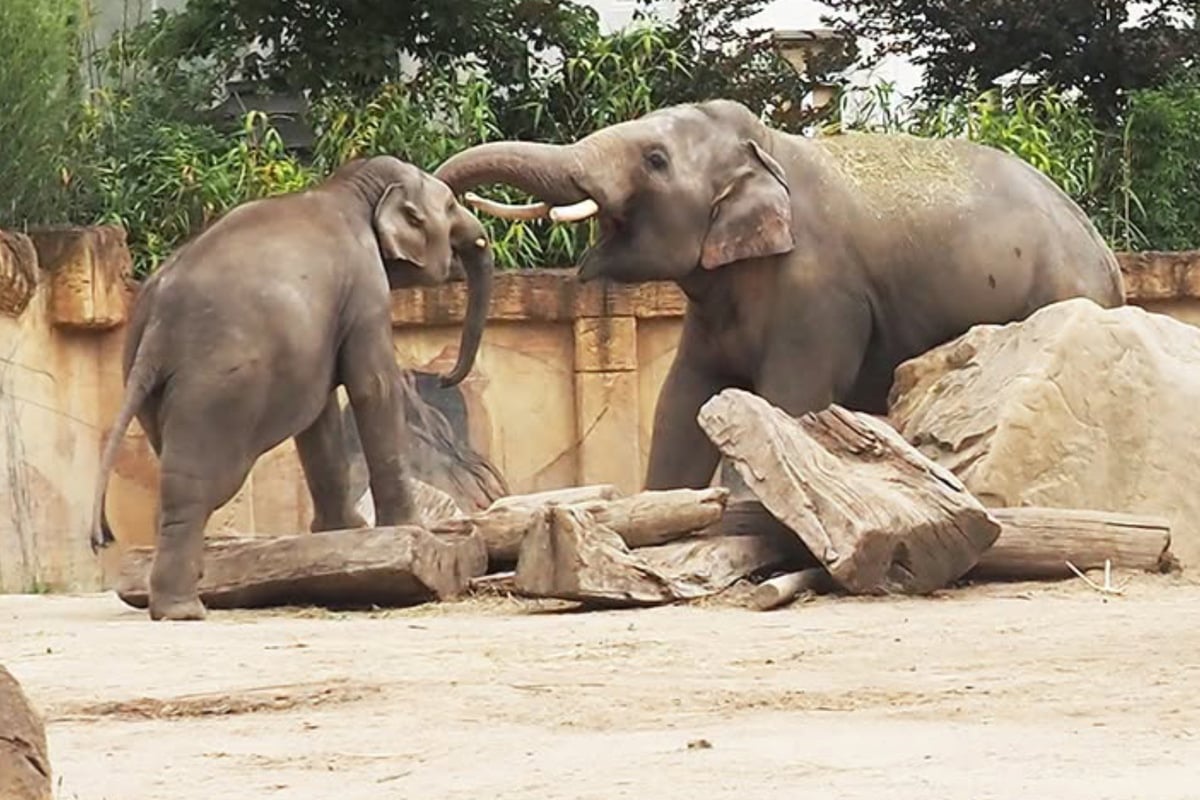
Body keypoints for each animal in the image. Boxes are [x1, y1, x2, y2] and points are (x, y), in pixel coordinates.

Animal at [89, 155, 495, 621]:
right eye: (449, 206)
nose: (445, 378)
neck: (350, 188)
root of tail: (157, 323)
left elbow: (319, 415)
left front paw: (344, 530)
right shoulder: (365, 289)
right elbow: (372, 386)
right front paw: (410, 526)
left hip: (156, 387)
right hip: (217, 389)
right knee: (197, 485)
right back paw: (184, 611)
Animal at [434, 98, 1126, 492]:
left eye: (655, 160)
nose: (447, 377)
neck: (769, 149)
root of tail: (1110, 261)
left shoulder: (819, 292)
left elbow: (787, 400)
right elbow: (683, 400)